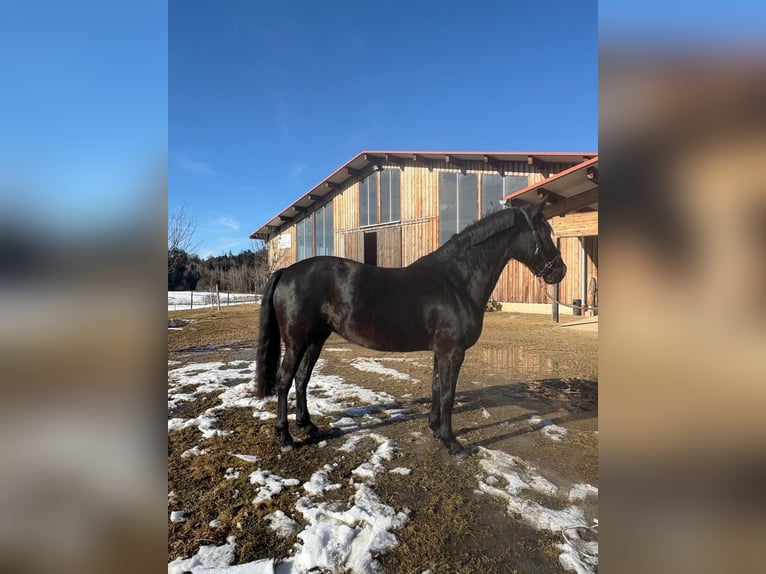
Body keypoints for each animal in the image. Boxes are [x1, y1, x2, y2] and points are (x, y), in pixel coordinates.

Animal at [255, 199, 566, 455]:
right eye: (545, 232)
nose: (559, 271)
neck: (456, 280)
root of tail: (286, 271)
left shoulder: (441, 351)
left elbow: (437, 387)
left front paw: (435, 429)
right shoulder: (453, 351)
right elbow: (449, 394)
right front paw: (453, 443)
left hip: (316, 338)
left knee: (302, 379)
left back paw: (309, 426)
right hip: (296, 340)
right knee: (284, 380)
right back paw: (286, 438)